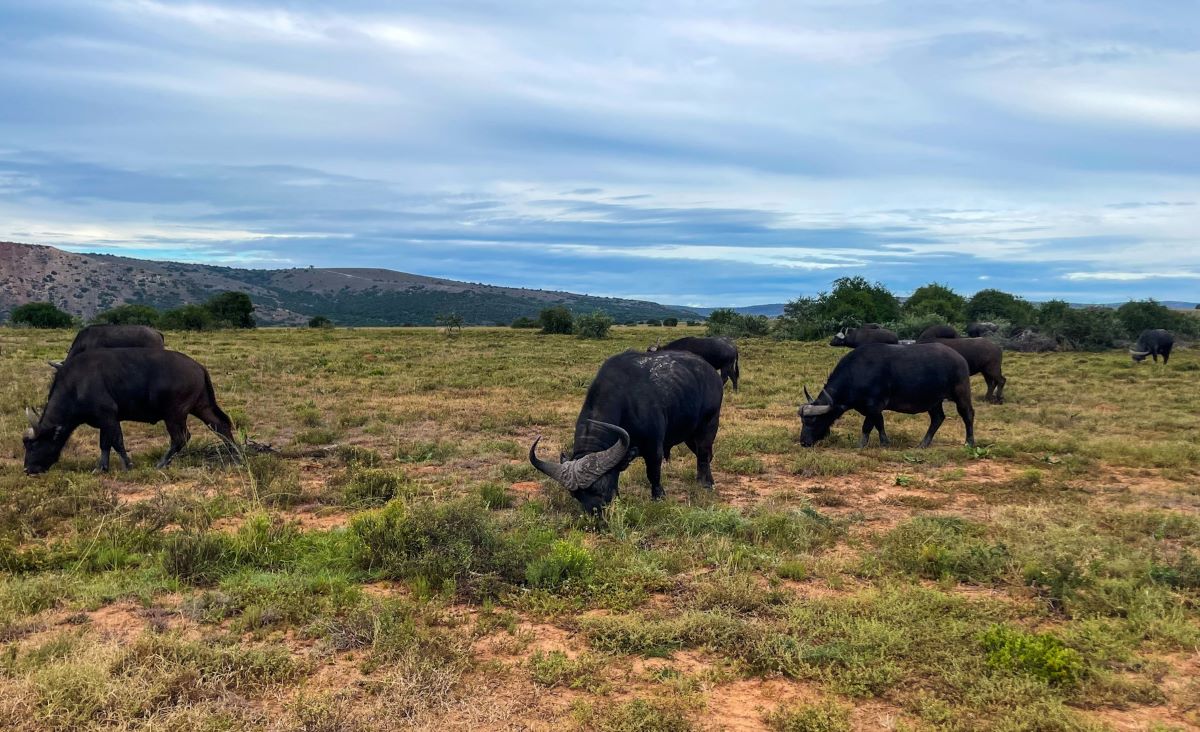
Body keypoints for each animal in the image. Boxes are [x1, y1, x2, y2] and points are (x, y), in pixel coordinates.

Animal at [24, 348, 238, 472]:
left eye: (34, 445)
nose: (27, 469)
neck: (76, 384)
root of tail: (198, 367)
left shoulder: (108, 416)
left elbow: (117, 442)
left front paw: (127, 465)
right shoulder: (106, 420)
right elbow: (105, 444)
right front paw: (101, 468)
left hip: (174, 414)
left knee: (181, 438)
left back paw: (161, 463)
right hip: (201, 406)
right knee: (221, 426)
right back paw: (236, 455)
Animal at [528, 348, 720, 513]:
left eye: (600, 488)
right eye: (576, 495)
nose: (596, 513)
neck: (626, 402)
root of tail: (710, 370)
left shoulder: (654, 448)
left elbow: (653, 473)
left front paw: (658, 497)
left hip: (708, 425)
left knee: (704, 454)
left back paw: (705, 485)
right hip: (689, 435)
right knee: (704, 455)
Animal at [796, 340, 974, 446]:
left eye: (813, 421)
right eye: (802, 421)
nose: (804, 442)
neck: (857, 373)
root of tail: (960, 358)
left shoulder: (874, 405)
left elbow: (868, 426)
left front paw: (863, 444)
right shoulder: (874, 409)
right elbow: (879, 423)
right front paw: (884, 442)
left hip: (961, 392)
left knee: (967, 414)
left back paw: (969, 442)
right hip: (933, 400)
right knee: (937, 418)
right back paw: (923, 443)